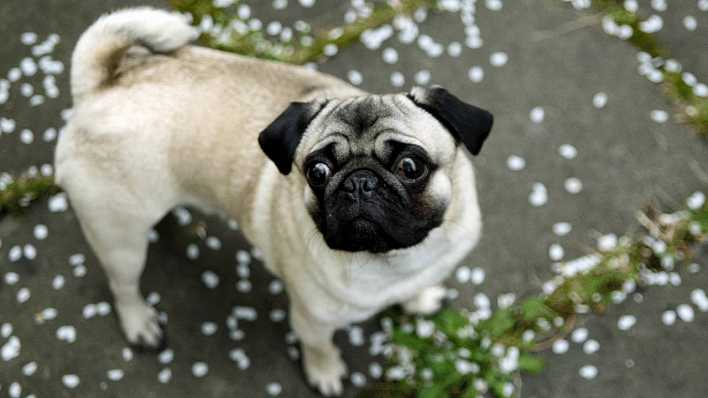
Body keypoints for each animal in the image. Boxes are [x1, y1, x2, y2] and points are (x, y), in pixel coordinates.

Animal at [55, 7, 492, 396]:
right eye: (317, 171)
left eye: (410, 166)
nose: (360, 182)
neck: (395, 259)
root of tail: (100, 88)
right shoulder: (312, 318)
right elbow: (320, 346)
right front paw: (325, 373)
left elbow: (418, 287)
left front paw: (419, 299)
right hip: (118, 237)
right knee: (122, 284)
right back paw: (139, 323)